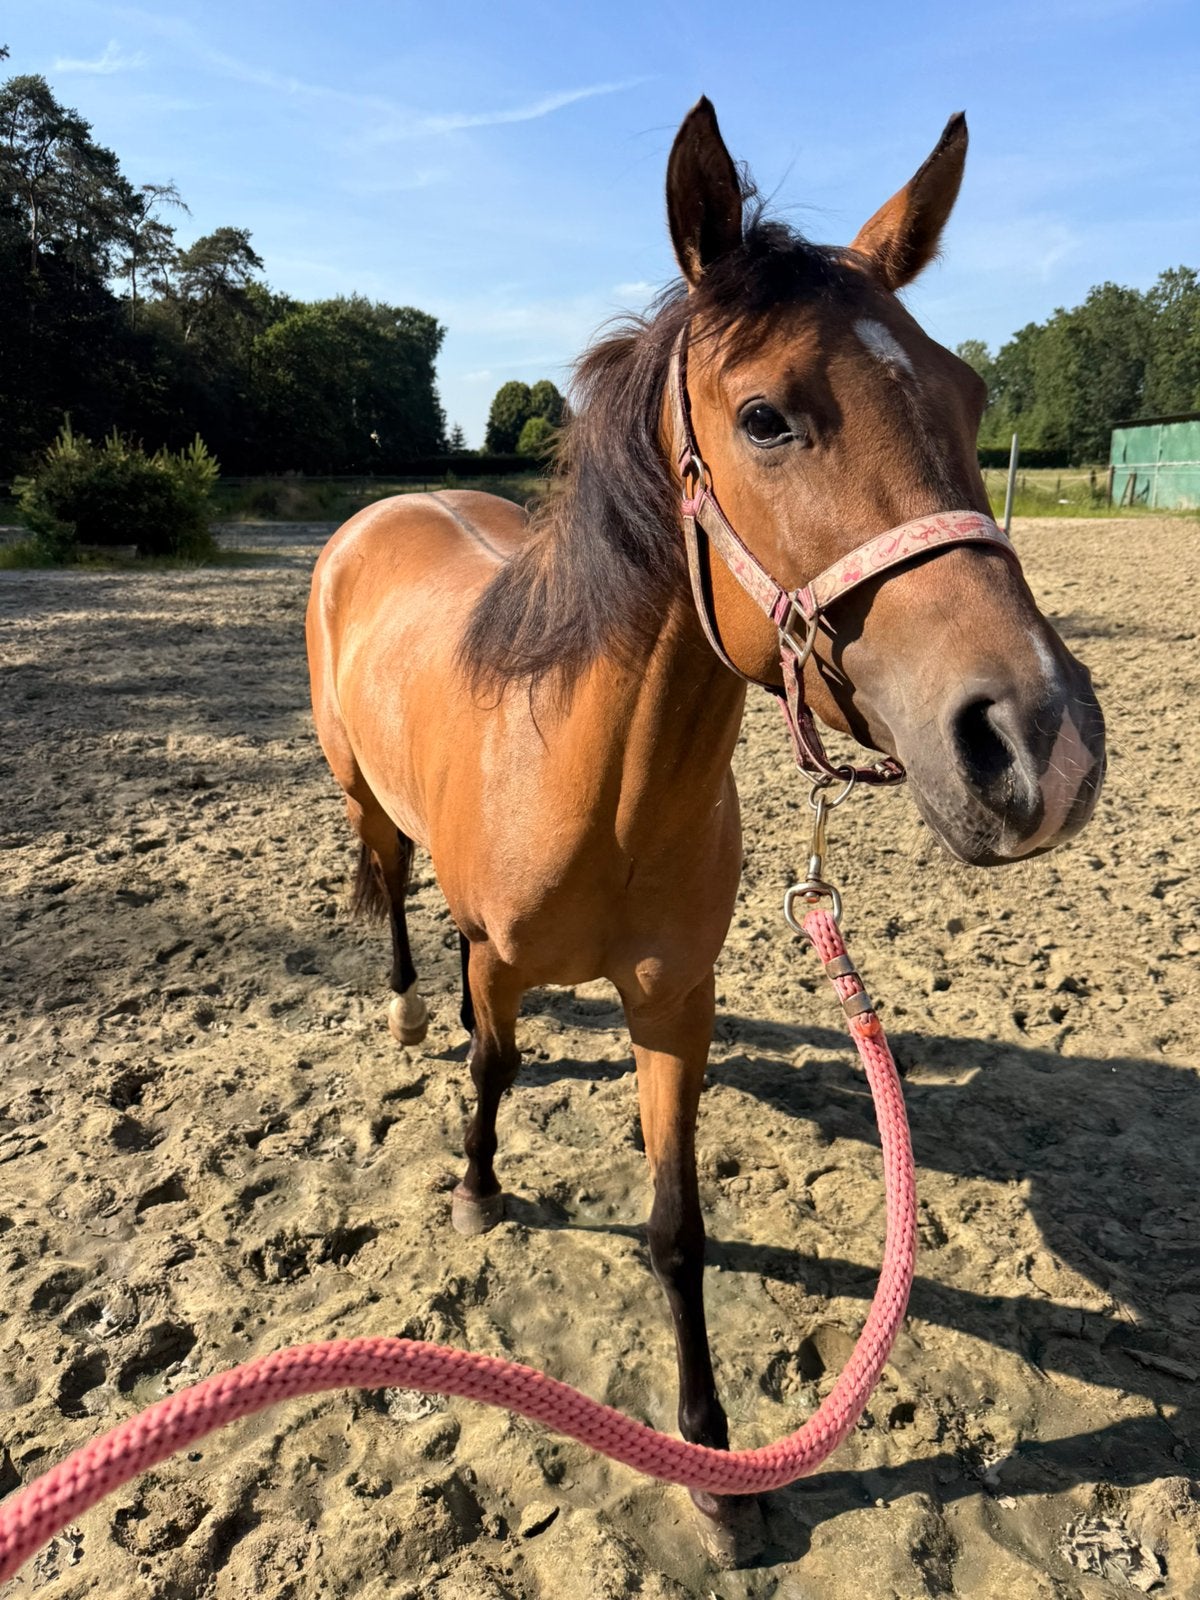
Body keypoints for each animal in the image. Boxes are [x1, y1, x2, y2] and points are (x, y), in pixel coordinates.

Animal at [306, 98, 1106, 1552]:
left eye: (967, 395)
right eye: (766, 416)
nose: (1043, 745)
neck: (595, 782)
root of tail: (384, 511)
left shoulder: (676, 1002)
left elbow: (678, 1227)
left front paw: (715, 1464)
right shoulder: (497, 959)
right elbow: (493, 1066)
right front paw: (477, 1186)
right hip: (361, 798)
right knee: (392, 891)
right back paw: (403, 1005)